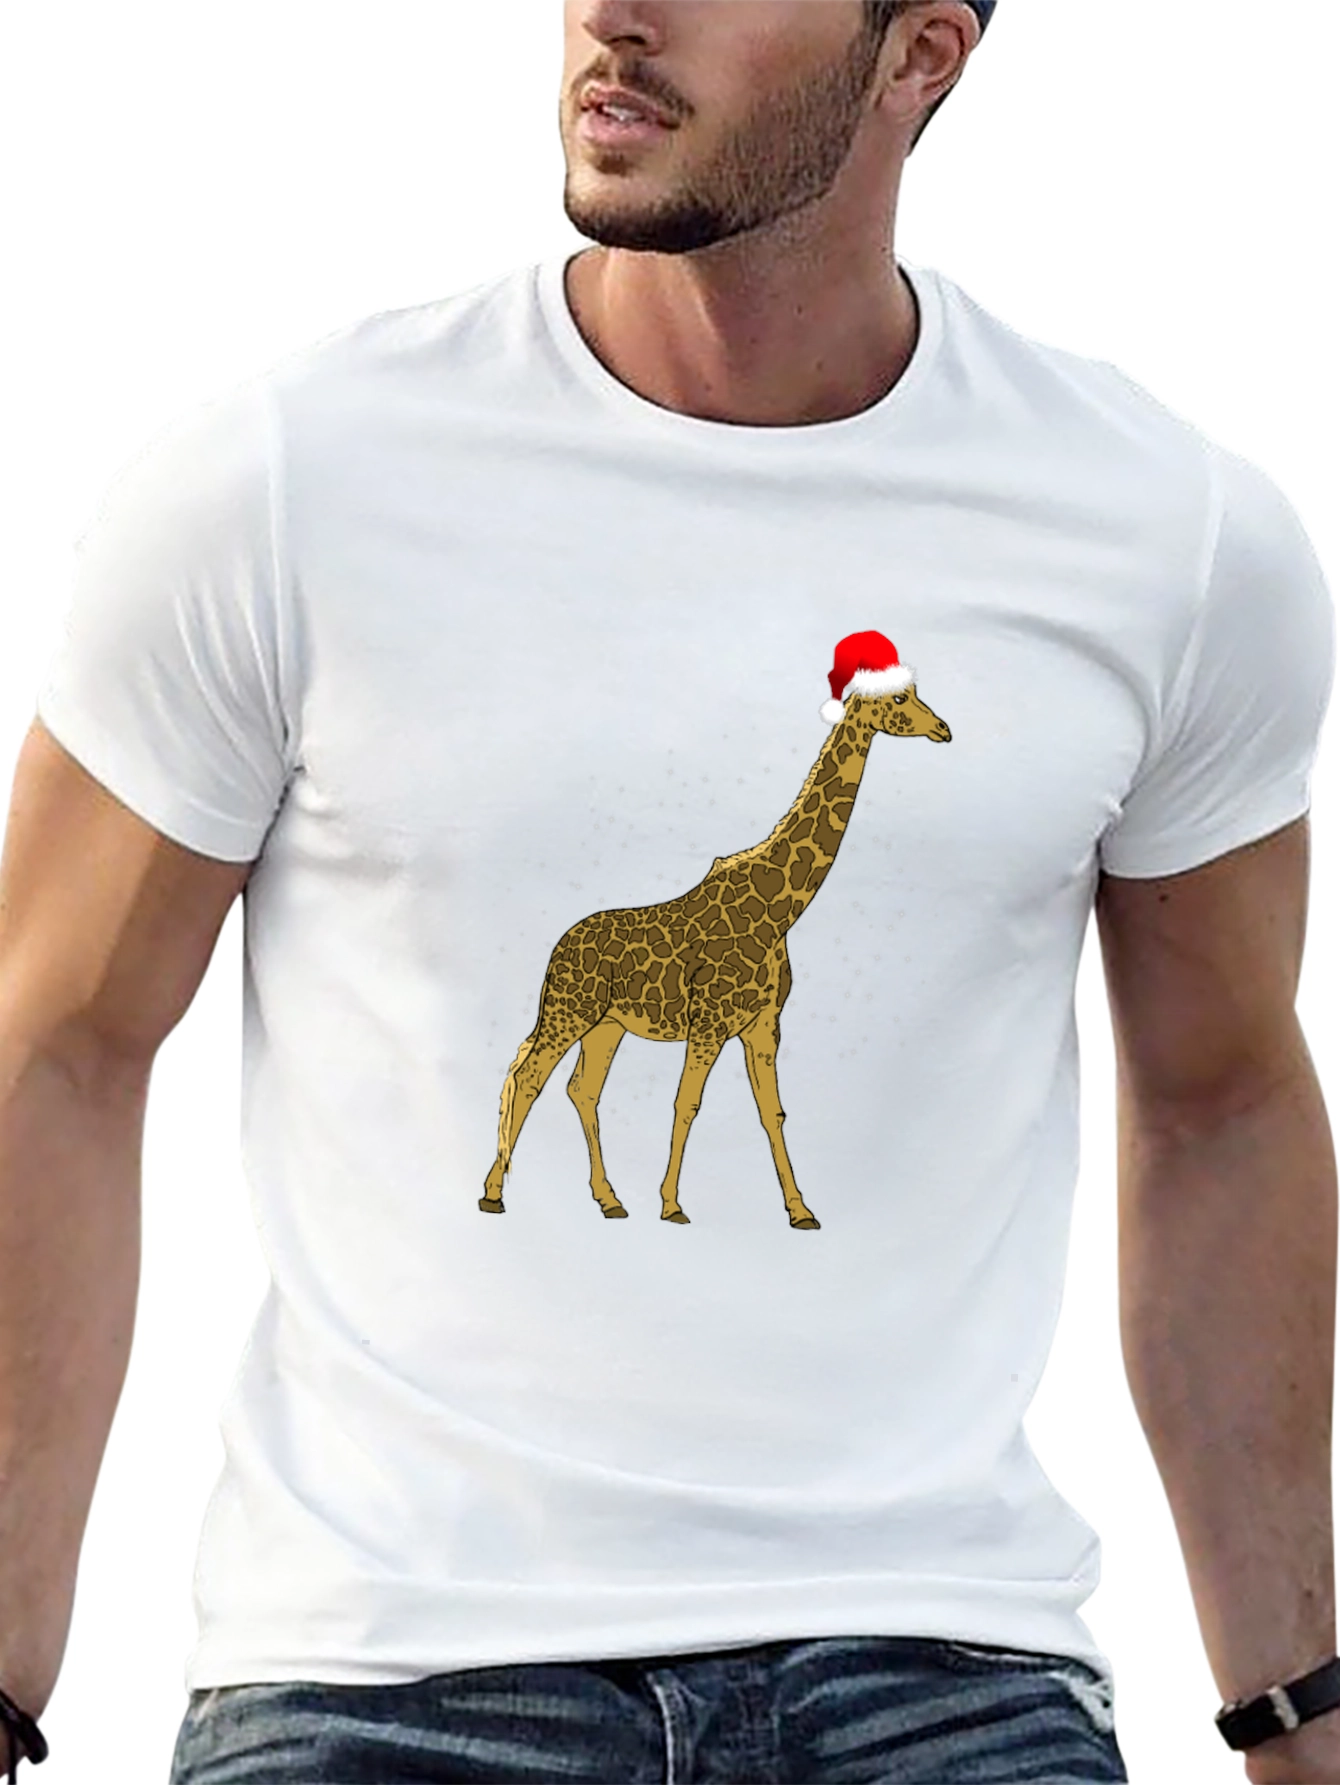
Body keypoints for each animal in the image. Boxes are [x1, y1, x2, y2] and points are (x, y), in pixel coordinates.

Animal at [481, 660, 952, 1229]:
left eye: (916, 692)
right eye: (901, 698)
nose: (944, 730)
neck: (779, 911)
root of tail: (558, 948)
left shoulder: (763, 1024)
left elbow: (773, 1111)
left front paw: (800, 1210)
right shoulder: (709, 1024)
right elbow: (687, 1104)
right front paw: (671, 1204)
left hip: (606, 1025)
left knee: (581, 1089)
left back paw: (609, 1200)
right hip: (568, 1011)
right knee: (527, 1074)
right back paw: (494, 1193)